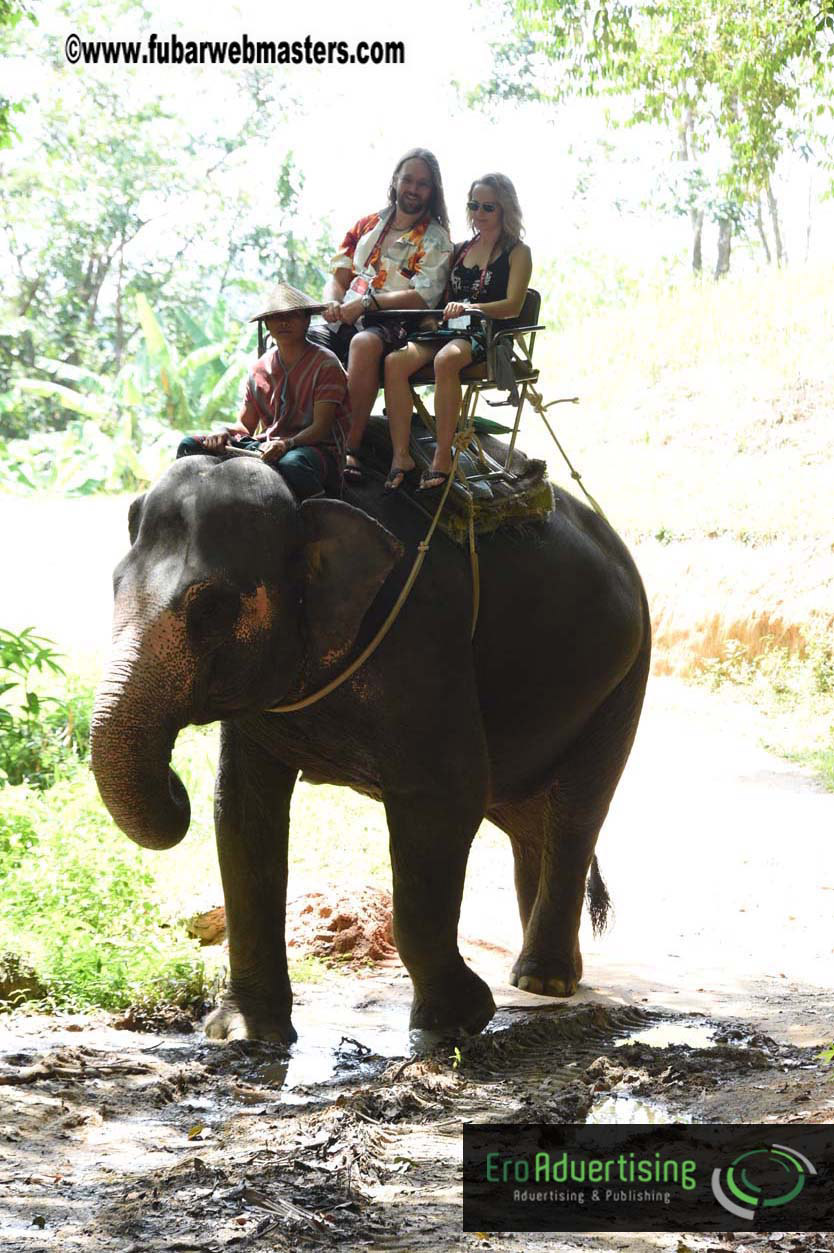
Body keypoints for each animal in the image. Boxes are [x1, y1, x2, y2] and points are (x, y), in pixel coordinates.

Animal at [90, 449, 650, 1045]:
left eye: (213, 607)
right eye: (114, 585)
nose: (176, 787)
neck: (304, 497)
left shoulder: (424, 634)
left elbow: (445, 797)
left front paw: (457, 1023)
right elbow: (240, 810)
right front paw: (246, 1032)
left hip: (627, 674)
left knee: (577, 811)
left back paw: (544, 980)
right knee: (529, 823)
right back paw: (535, 975)